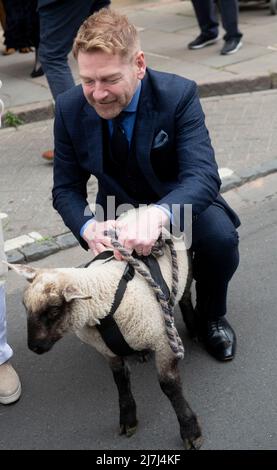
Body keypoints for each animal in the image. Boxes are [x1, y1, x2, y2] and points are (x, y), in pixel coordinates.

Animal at [8, 211, 203, 450]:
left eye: (53, 310)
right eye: (24, 306)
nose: (34, 347)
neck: (103, 301)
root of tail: (143, 209)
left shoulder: (163, 342)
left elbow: (169, 387)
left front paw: (190, 431)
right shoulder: (108, 351)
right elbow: (121, 382)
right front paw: (128, 420)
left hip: (185, 272)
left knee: (185, 298)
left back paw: (194, 329)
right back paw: (141, 353)